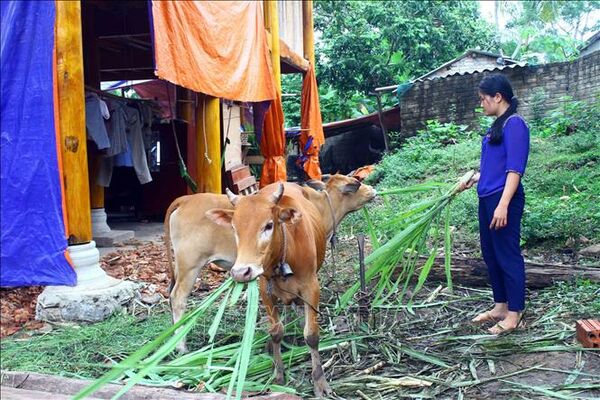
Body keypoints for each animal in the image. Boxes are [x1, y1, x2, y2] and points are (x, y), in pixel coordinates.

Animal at [206, 177, 376, 396]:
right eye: (235, 229)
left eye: (269, 225)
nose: (241, 272)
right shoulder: (265, 290)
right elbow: (276, 332)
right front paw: (278, 375)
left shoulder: (311, 287)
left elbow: (311, 335)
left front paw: (320, 383)